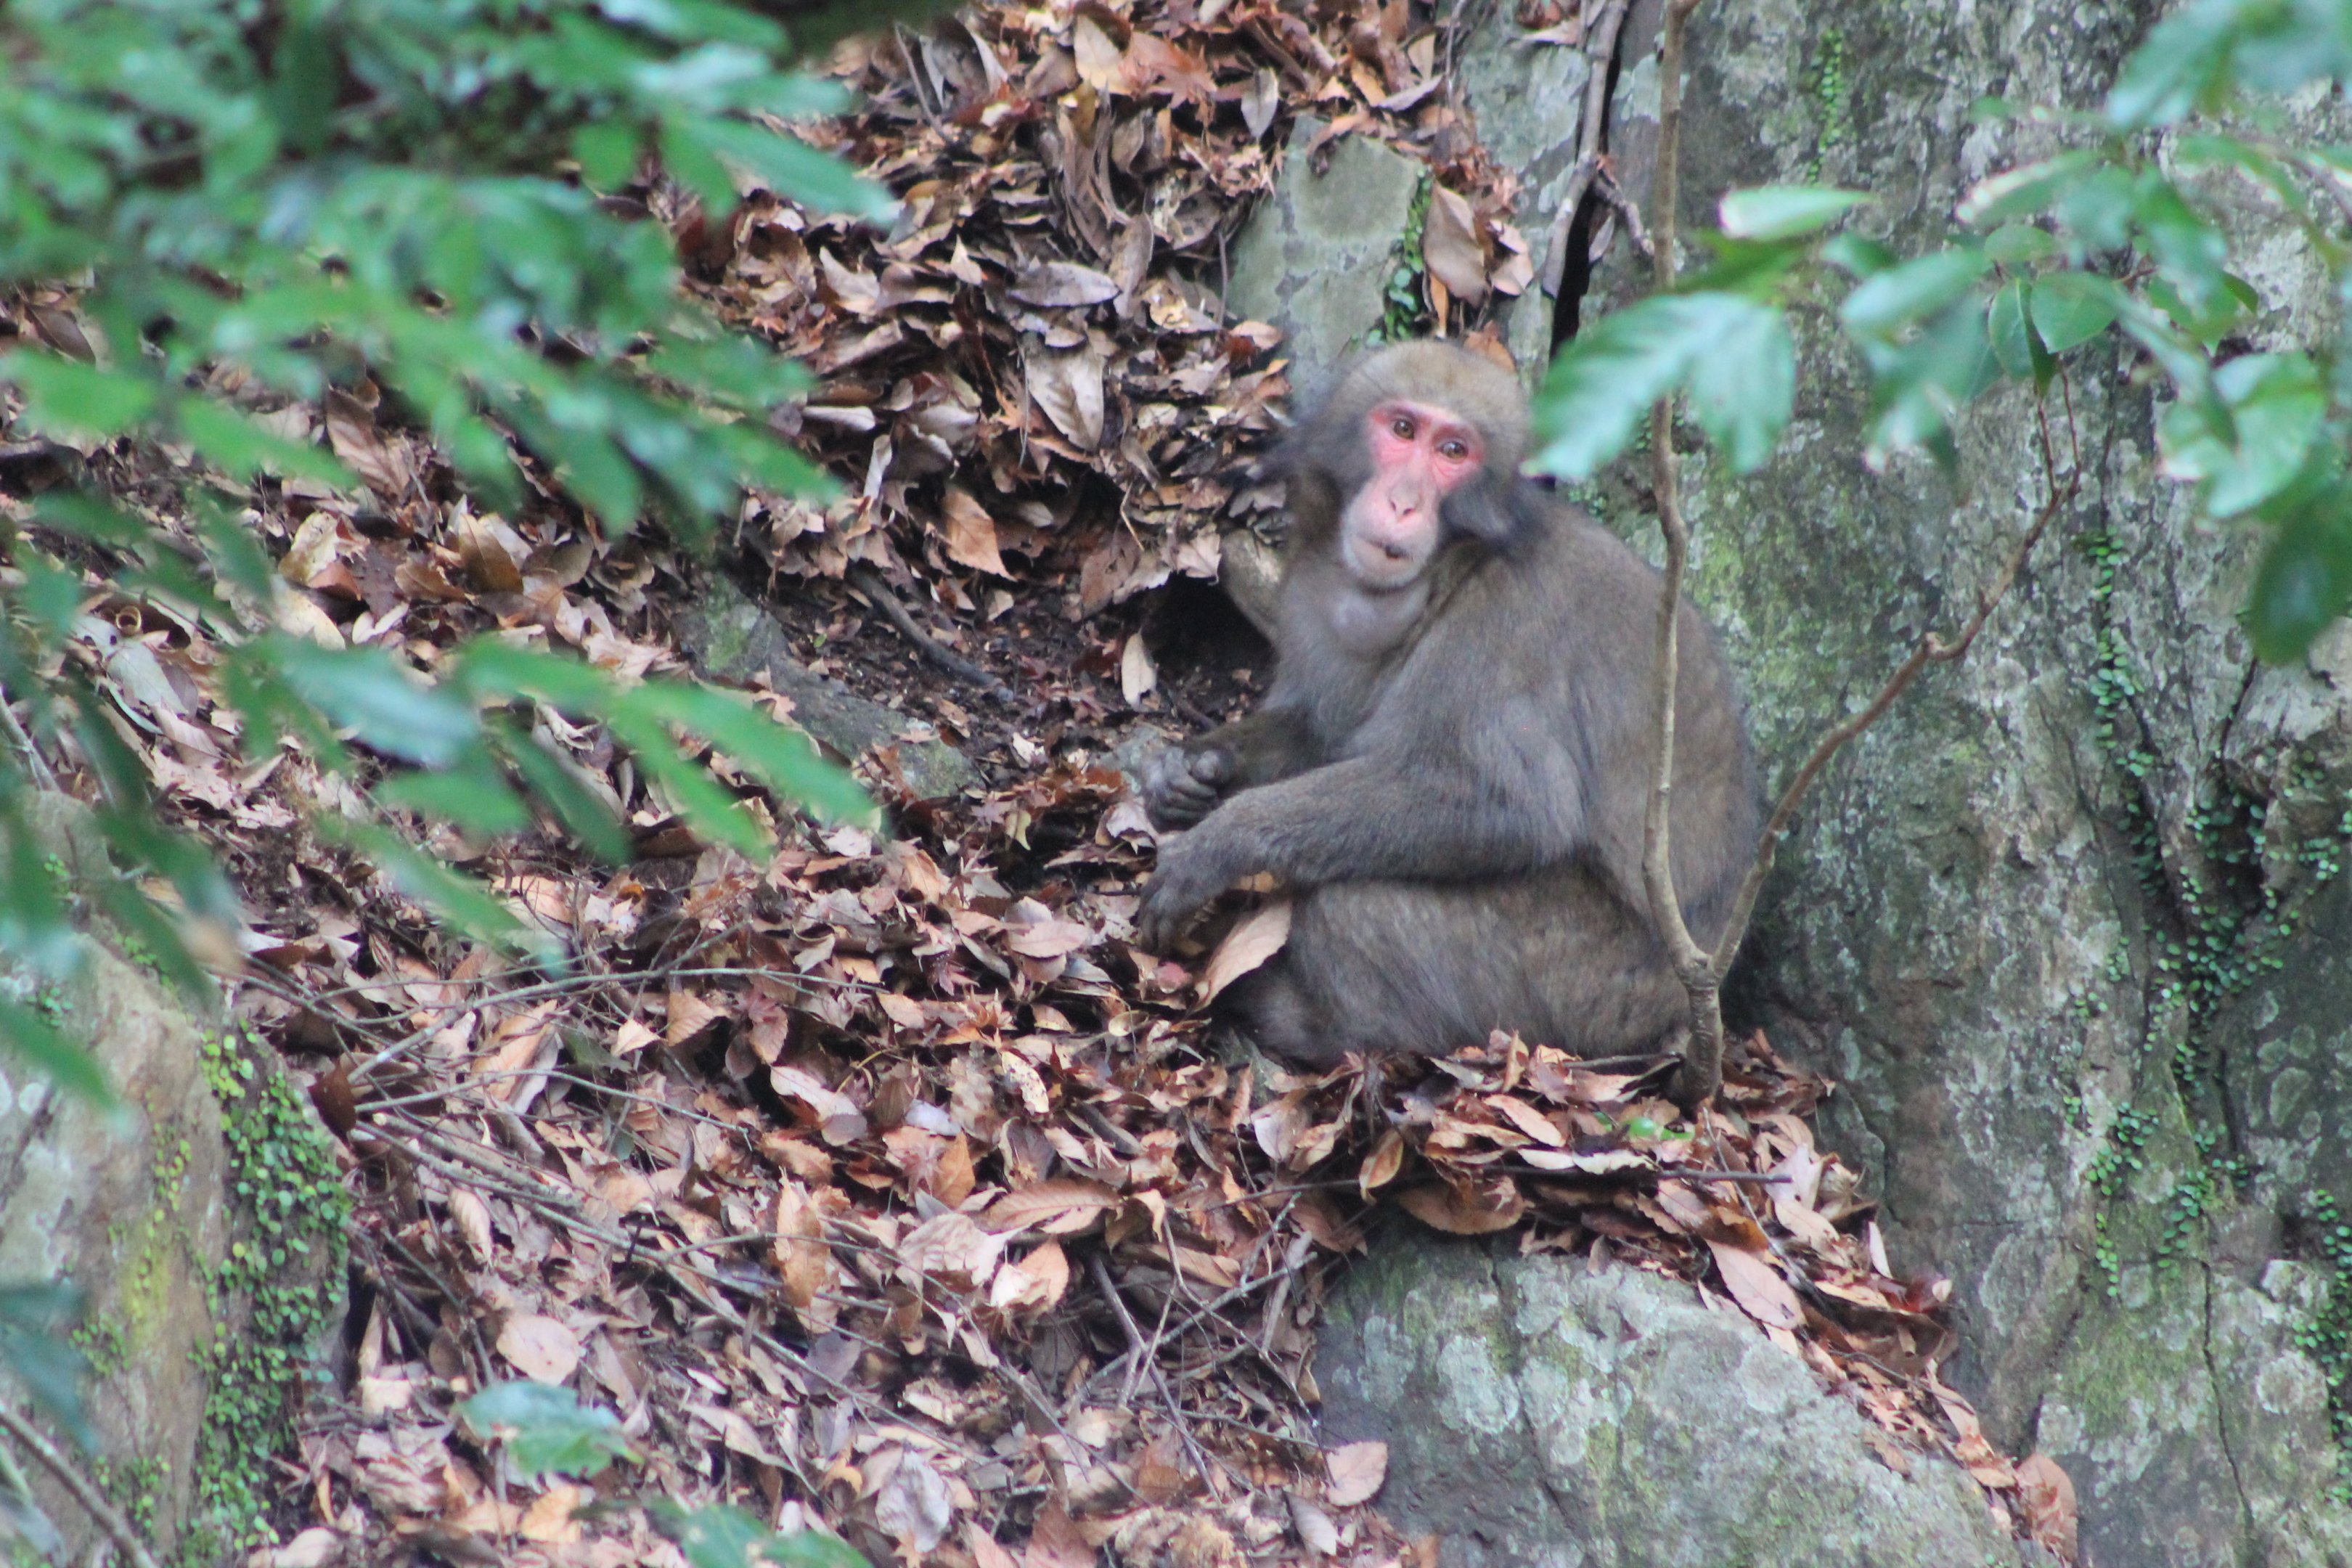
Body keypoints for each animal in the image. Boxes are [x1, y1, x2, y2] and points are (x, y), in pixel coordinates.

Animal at [1136, 339, 1758, 1066]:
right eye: (1404, 429)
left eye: (1454, 452)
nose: (1404, 503)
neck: (1447, 569)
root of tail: (1685, 1011)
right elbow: (1319, 733)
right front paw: (1188, 768)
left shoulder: (1507, 623)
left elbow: (1505, 803)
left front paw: (1223, 842)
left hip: (1582, 991)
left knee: (1356, 901)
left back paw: (1303, 1022)